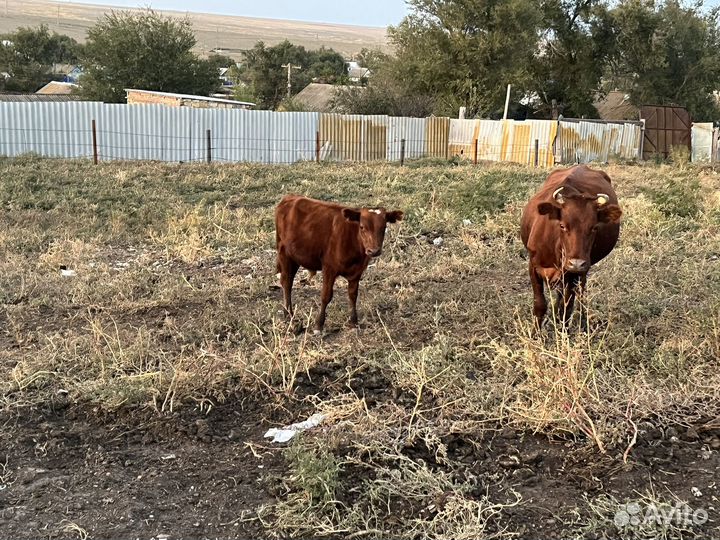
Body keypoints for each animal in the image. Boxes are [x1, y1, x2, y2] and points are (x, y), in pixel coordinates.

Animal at [275, 195, 404, 333]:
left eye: (384, 227)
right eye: (362, 227)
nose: (373, 251)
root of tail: (291, 197)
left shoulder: (357, 272)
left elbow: (353, 295)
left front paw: (353, 321)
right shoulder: (329, 268)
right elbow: (326, 296)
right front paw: (319, 324)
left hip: (295, 257)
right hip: (284, 253)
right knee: (286, 282)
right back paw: (289, 315)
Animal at [520, 165, 622, 330]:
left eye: (594, 227)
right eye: (562, 225)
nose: (576, 263)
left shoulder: (572, 274)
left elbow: (565, 308)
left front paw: (563, 332)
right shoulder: (533, 265)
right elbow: (540, 304)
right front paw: (535, 334)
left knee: (580, 292)